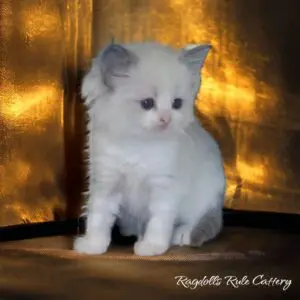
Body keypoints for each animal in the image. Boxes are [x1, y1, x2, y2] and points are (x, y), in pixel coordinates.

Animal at [74, 41, 226, 256]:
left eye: (176, 103)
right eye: (147, 103)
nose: (166, 119)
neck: (138, 146)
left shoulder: (164, 187)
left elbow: (158, 221)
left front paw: (152, 247)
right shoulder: (106, 182)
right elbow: (98, 217)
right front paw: (93, 246)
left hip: (206, 192)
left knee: (199, 219)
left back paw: (181, 234)